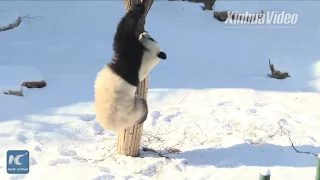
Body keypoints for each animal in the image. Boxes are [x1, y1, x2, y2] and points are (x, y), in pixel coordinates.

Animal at [93, 3, 166, 131]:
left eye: (151, 39)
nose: (144, 32)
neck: (151, 56)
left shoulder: (132, 57)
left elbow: (122, 35)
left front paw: (140, 8)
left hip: (133, 109)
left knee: (143, 106)